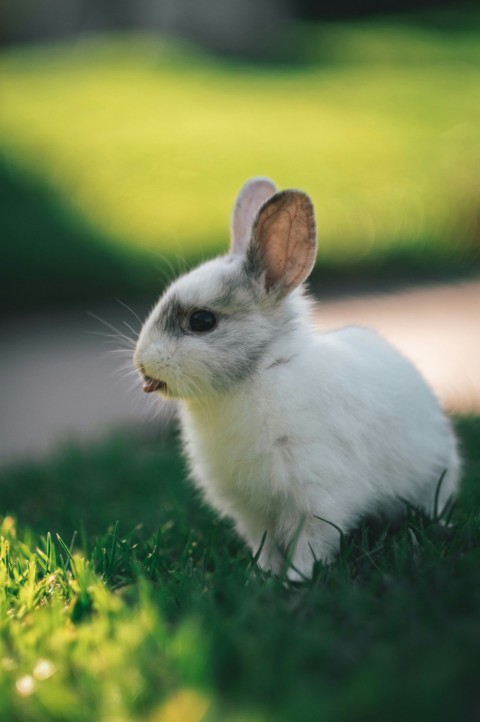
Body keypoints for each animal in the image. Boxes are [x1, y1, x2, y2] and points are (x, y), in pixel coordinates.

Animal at [134, 177, 461, 580]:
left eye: (201, 321)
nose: (142, 365)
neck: (260, 373)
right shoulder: (253, 511)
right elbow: (265, 545)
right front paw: (263, 576)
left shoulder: (317, 498)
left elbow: (310, 544)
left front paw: (297, 579)